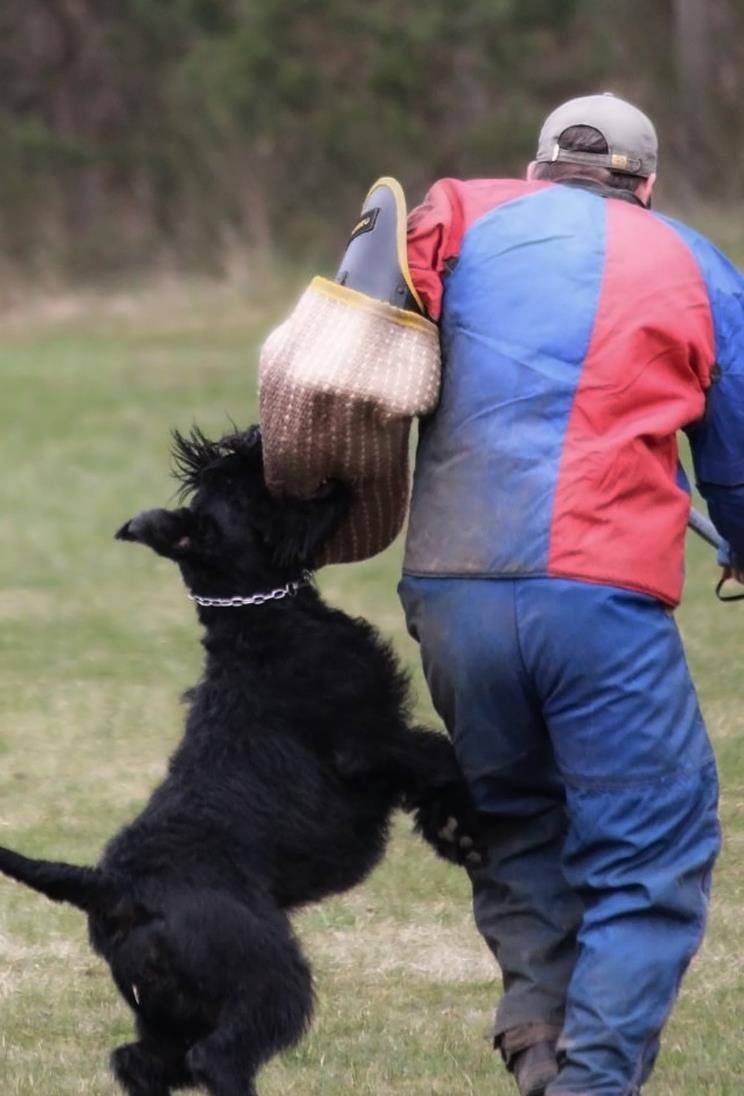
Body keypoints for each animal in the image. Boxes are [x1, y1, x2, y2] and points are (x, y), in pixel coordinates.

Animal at [0, 425, 477, 1096]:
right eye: (241, 483)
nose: (261, 442)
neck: (259, 617)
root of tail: (112, 889)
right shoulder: (372, 743)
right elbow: (438, 757)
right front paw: (464, 823)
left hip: (167, 1008)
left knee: (138, 1060)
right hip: (266, 975)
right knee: (217, 1057)